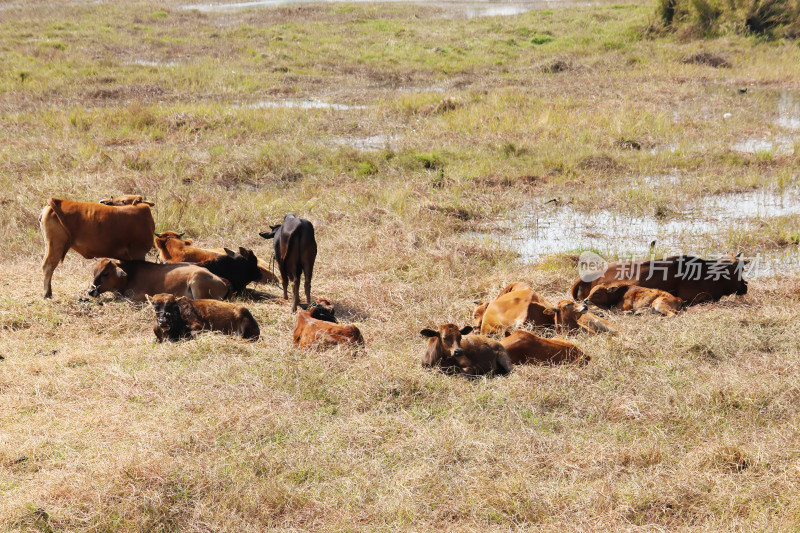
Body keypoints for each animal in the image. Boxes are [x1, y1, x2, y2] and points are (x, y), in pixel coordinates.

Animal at [88, 258, 230, 302]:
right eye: (94, 272)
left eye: (105, 273)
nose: (90, 291)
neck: (130, 275)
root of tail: (223, 281)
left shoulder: (138, 297)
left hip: (196, 279)